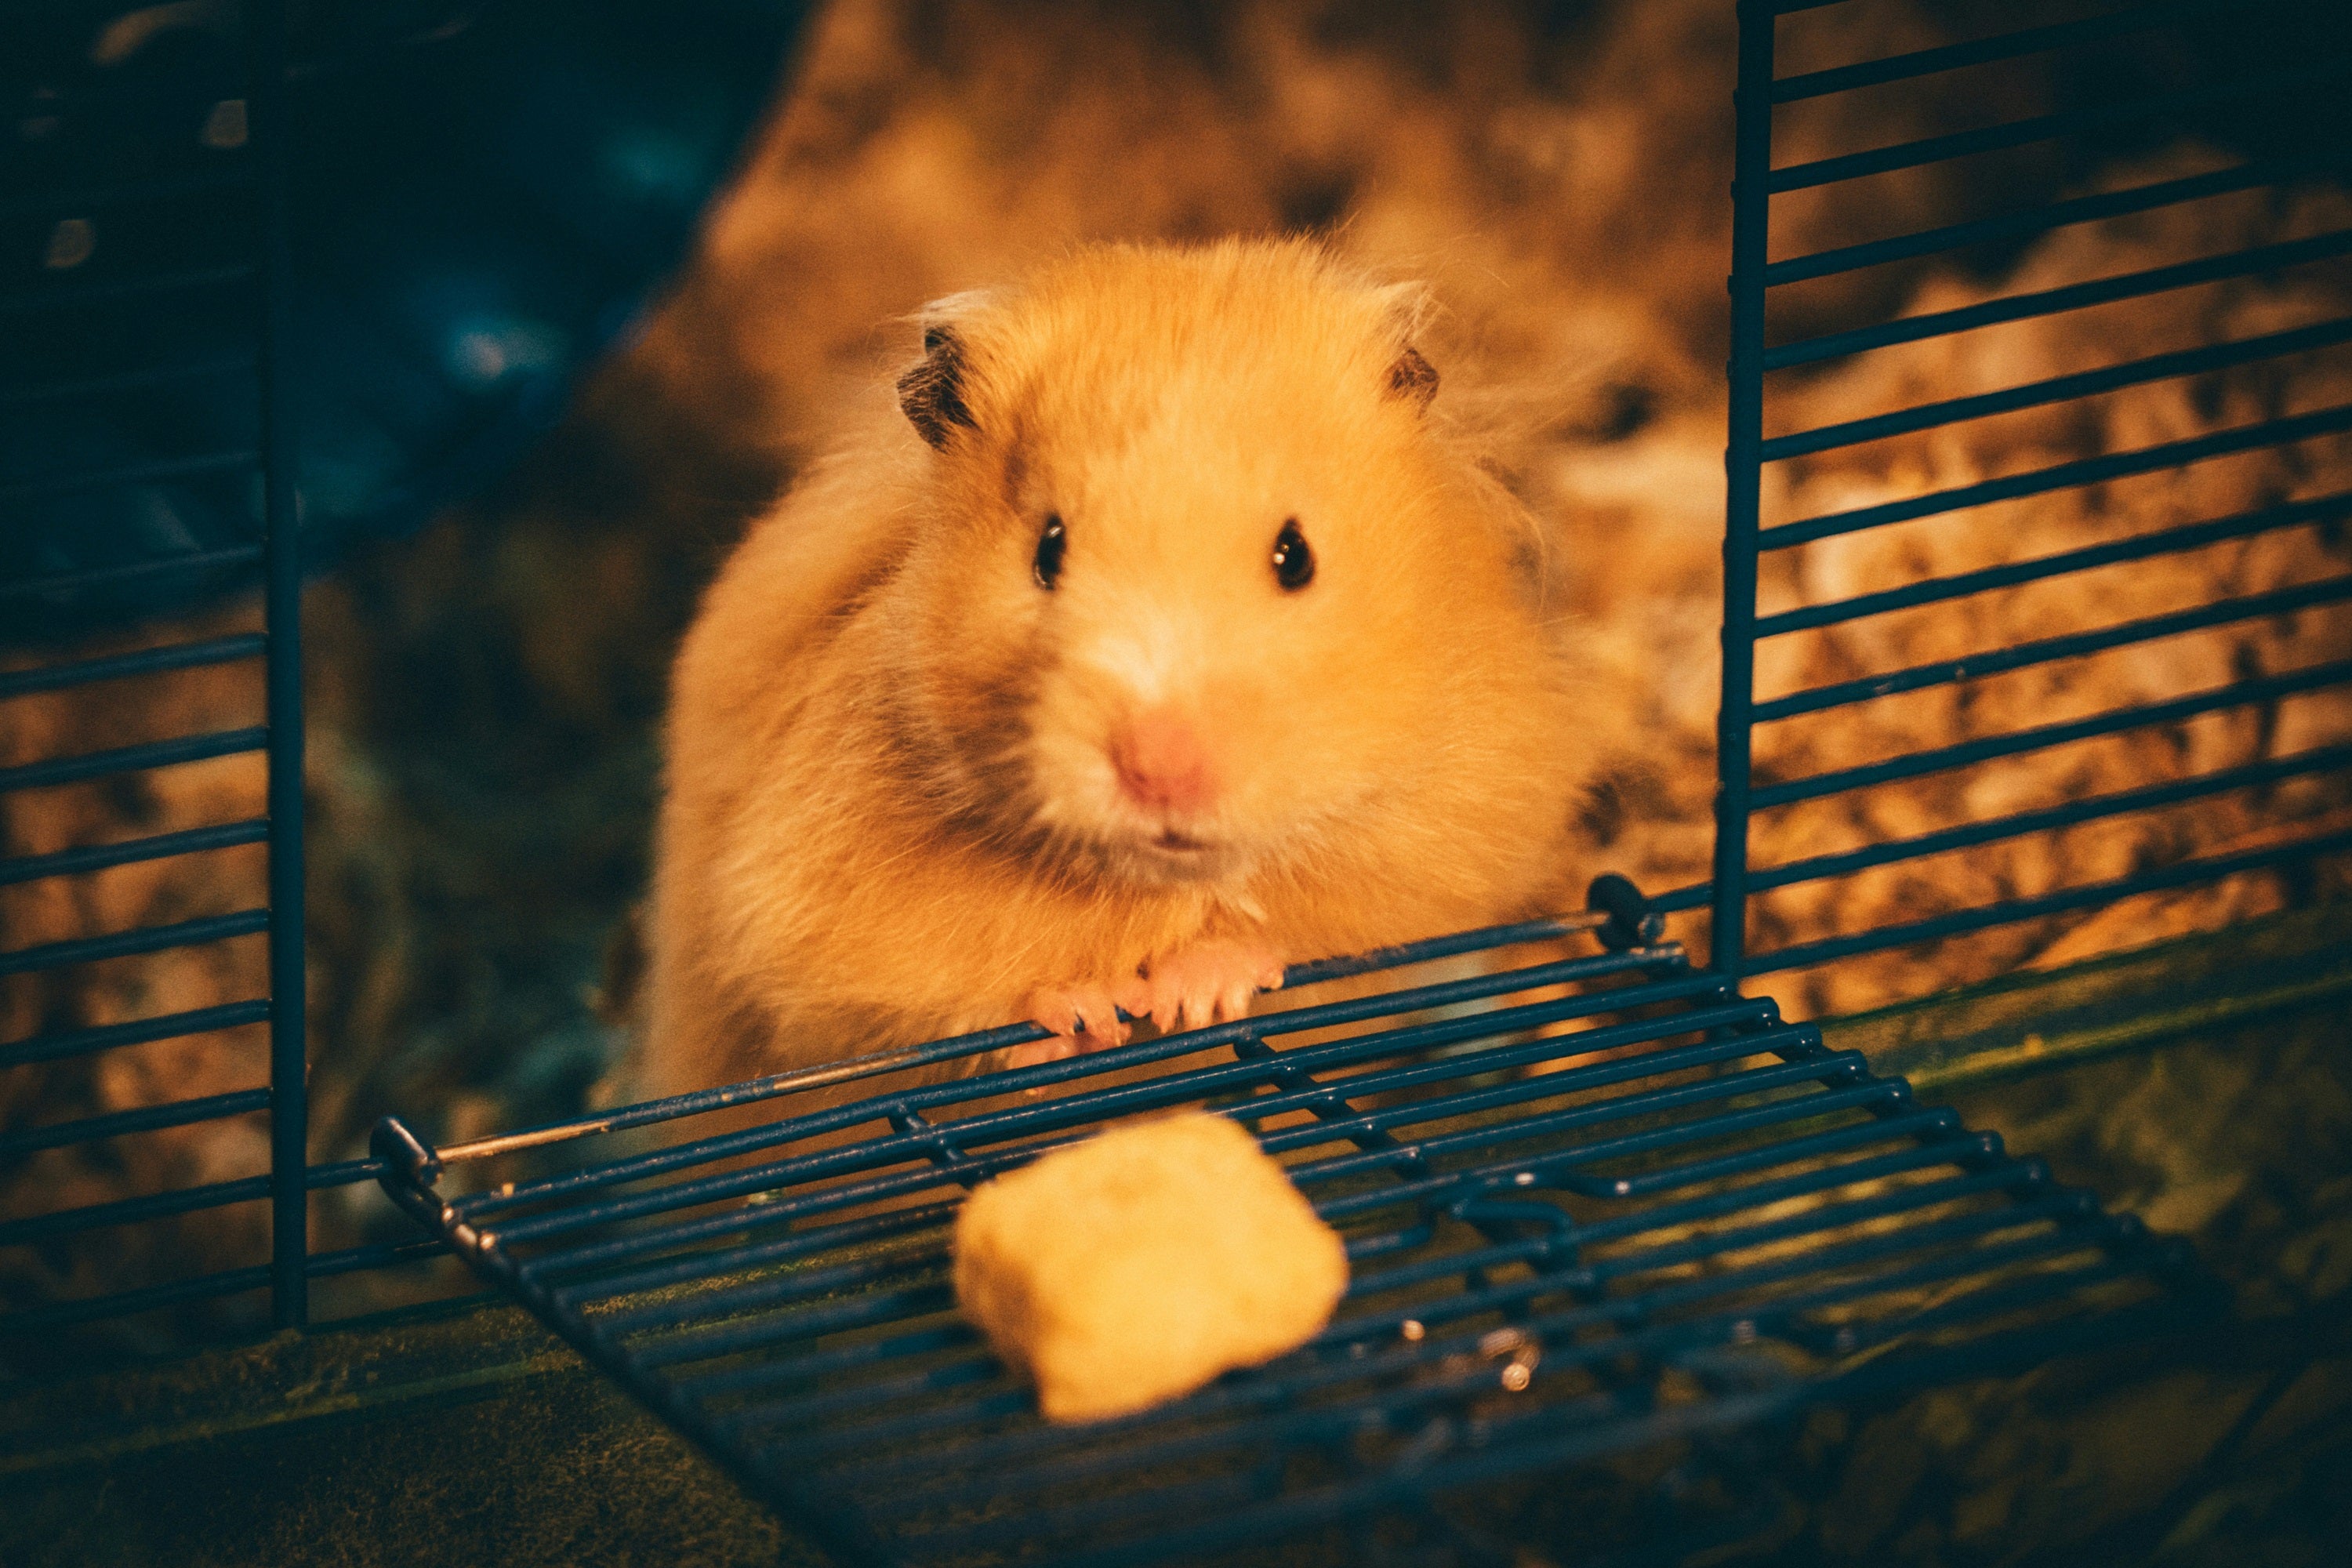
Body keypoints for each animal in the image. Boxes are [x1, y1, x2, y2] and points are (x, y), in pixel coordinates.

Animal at [634, 238, 1591, 1103]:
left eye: (1296, 555)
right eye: (1047, 551)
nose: (1161, 770)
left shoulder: (1457, 829)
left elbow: (1313, 927)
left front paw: (1191, 994)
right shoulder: (802, 913)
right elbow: (928, 997)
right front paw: (1091, 1009)